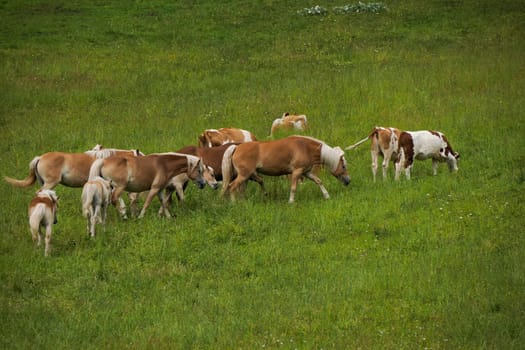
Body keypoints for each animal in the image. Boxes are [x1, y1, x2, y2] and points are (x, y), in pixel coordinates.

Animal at [220, 136, 348, 204]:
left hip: (247, 176)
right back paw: (234, 203)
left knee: (241, 189)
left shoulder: (306, 172)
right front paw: (291, 202)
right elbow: (293, 188)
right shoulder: (297, 171)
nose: (348, 181)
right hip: (244, 175)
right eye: (344, 166)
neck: (304, 147)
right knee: (232, 186)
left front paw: (327, 196)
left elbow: (318, 181)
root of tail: (237, 147)